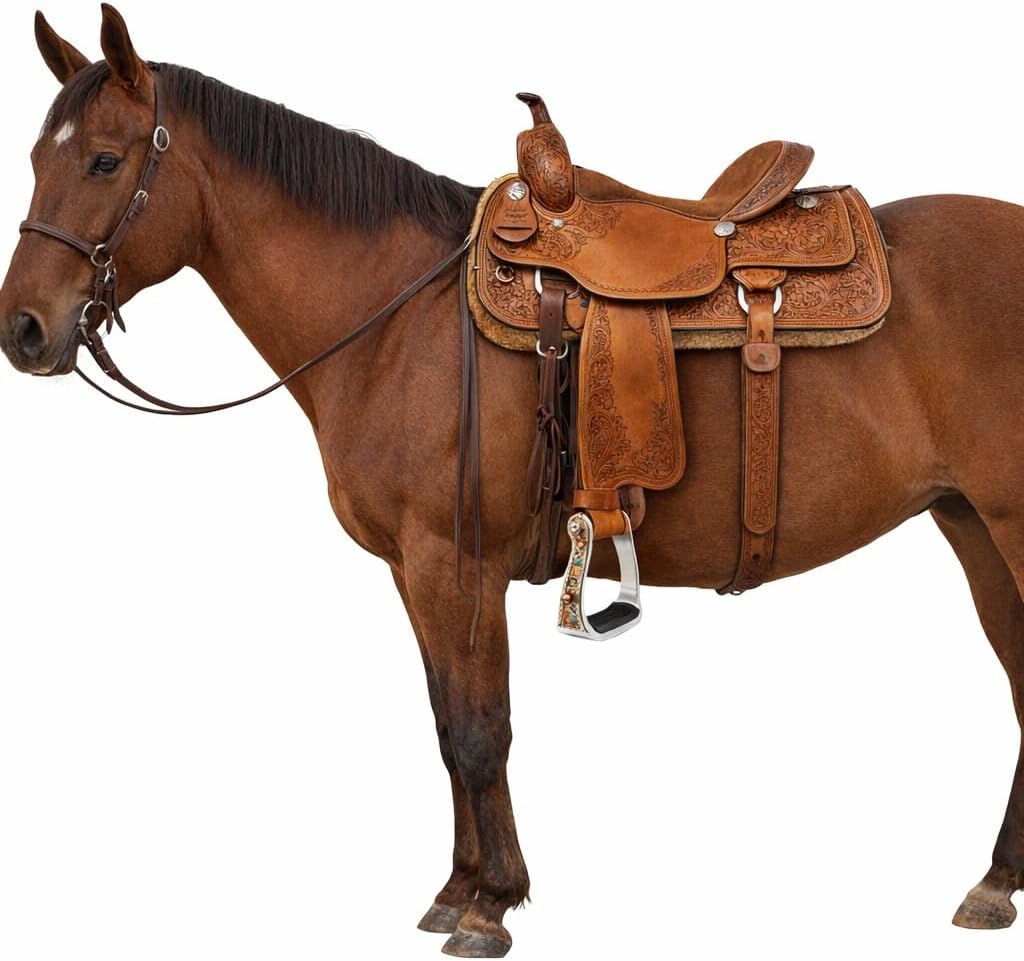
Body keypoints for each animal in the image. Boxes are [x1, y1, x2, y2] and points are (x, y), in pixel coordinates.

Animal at [2, 5, 1023, 957]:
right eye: (36, 157)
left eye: (103, 161)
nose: (24, 329)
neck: (400, 315)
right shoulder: (414, 571)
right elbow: (445, 723)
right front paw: (456, 887)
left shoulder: (456, 563)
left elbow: (478, 727)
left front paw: (492, 902)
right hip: (971, 526)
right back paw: (995, 882)